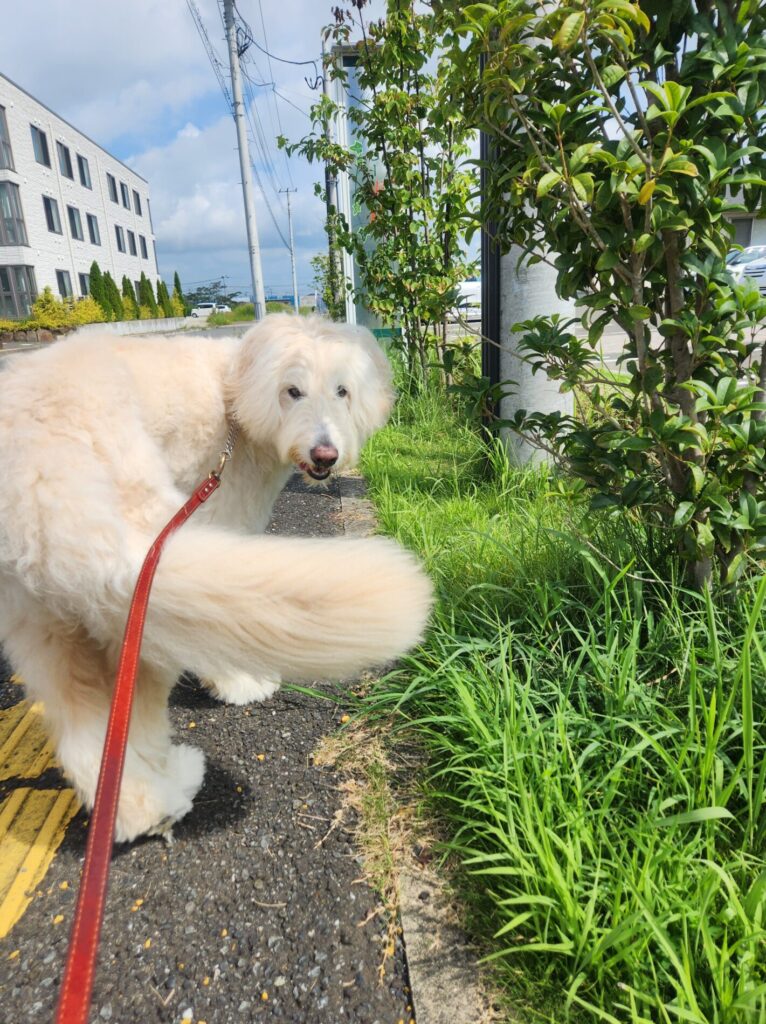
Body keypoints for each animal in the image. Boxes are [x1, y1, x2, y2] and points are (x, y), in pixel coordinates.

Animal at [0, 313, 430, 839]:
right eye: (292, 391)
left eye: (342, 391)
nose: (325, 455)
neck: (235, 396)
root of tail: (35, 470)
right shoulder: (222, 515)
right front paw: (239, 683)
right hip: (145, 569)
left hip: (46, 618)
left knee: (84, 725)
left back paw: (145, 806)